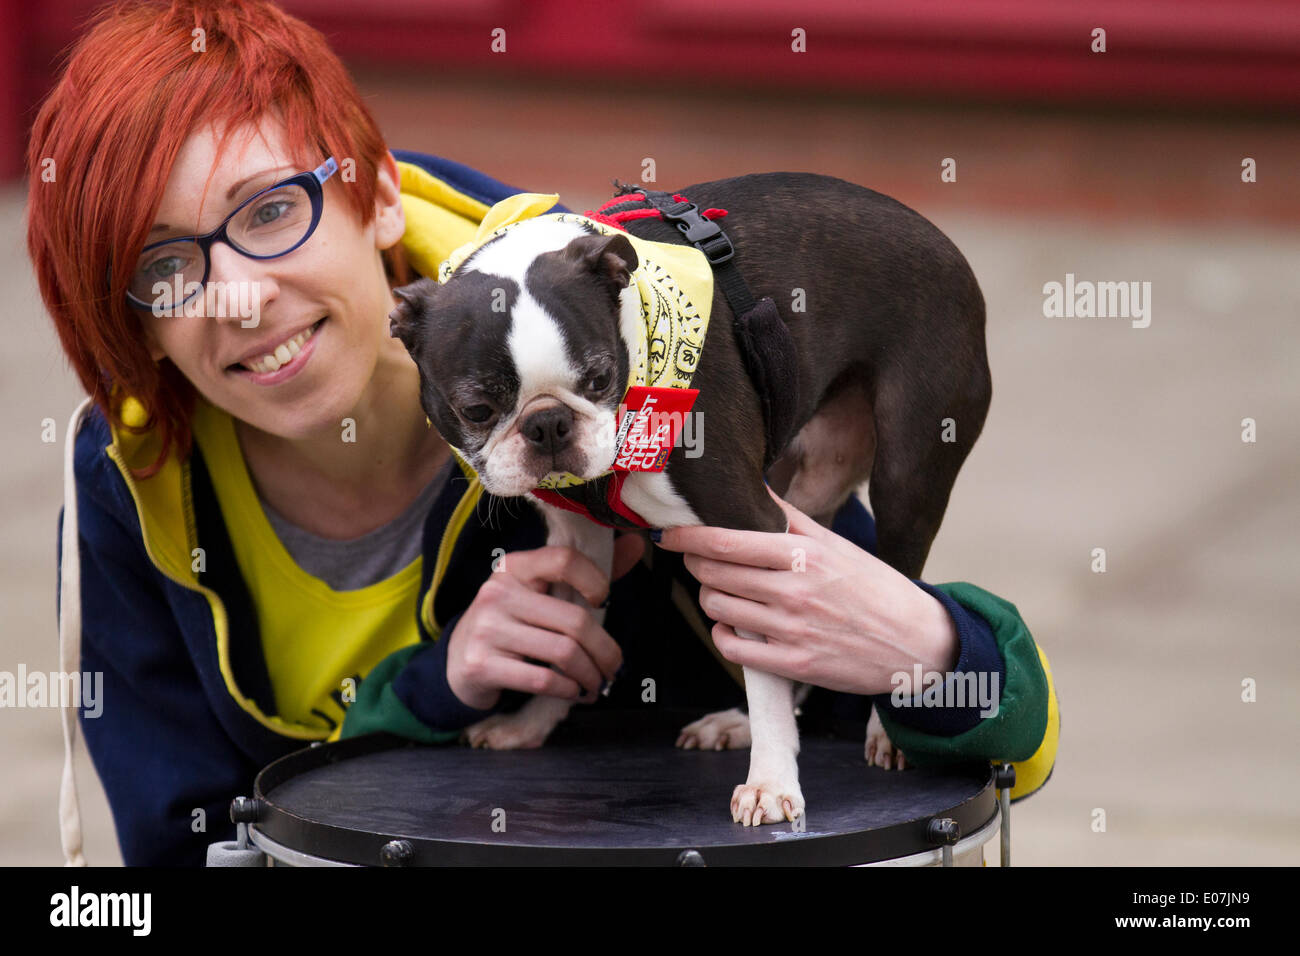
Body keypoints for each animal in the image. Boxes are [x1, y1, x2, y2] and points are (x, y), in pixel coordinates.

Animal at [390, 175, 987, 827]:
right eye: (476, 409)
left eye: (599, 379)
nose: (547, 424)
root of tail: (944, 241)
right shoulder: (581, 537)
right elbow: (574, 621)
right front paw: (533, 722)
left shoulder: (747, 523)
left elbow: (764, 660)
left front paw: (771, 783)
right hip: (806, 483)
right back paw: (742, 722)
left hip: (906, 476)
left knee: (893, 578)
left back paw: (880, 730)